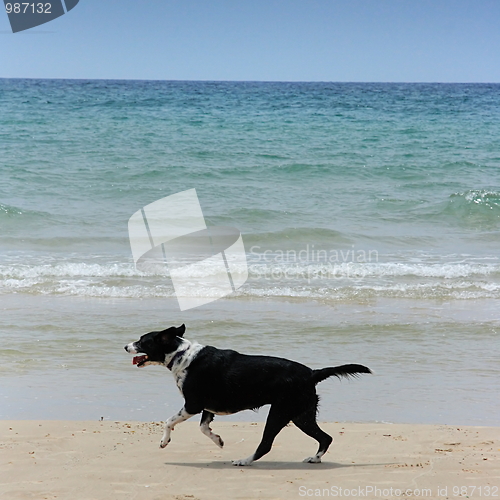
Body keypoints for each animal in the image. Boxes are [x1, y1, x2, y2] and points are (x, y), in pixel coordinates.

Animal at [123, 324, 370, 464]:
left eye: (142, 341)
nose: (125, 346)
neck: (181, 355)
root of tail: (312, 373)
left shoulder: (193, 404)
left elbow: (168, 421)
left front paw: (164, 441)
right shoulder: (207, 407)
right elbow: (204, 428)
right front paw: (218, 440)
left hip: (280, 413)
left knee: (266, 445)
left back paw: (245, 461)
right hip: (302, 415)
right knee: (325, 437)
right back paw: (315, 459)